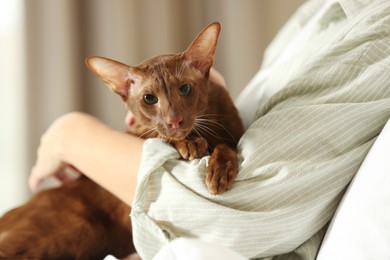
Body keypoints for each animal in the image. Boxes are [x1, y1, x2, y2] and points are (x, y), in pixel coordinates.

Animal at [0, 21, 244, 258]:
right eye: (149, 99)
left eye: (184, 89)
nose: (174, 120)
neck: (208, 127)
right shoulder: (136, 131)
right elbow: (158, 134)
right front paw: (191, 144)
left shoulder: (233, 131)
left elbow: (227, 145)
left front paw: (220, 171)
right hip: (76, 229)